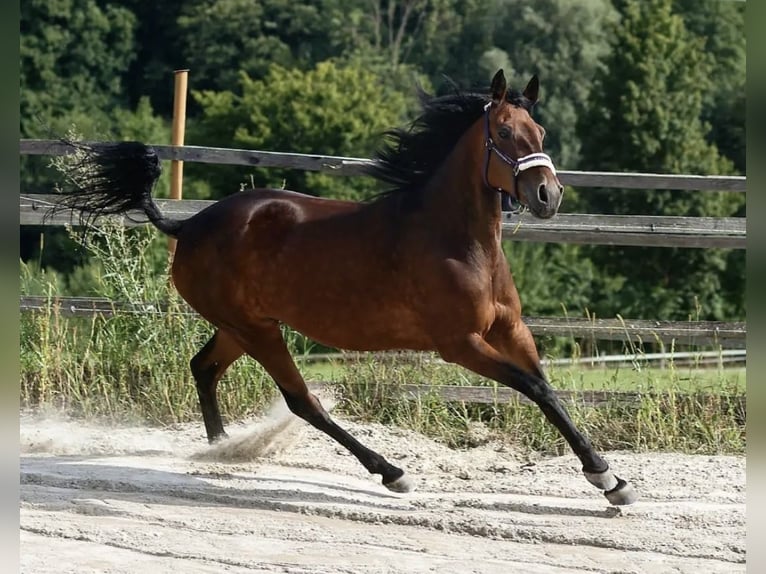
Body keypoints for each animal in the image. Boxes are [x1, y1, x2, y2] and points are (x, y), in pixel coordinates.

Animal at [55, 69, 636, 505]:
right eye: (506, 134)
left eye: (541, 133)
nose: (547, 195)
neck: (455, 238)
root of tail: (189, 226)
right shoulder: (460, 345)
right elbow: (533, 387)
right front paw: (607, 478)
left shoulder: (510, 331)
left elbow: (549, 391)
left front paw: (611, 479)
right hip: (256, 331)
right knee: (301, 400)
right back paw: (390, 472)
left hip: (243, 325)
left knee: (205, 368)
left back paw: (224, 449)